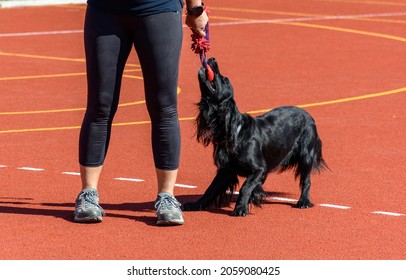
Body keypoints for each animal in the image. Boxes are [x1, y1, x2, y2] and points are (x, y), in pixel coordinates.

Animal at [183, 57, 326, 217]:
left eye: (225, 80)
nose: (212, 59)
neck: (236, 133)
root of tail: (308, 115)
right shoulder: (226, 170)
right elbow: (211, 189)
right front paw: (196, 204)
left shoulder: (260, 169)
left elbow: (245, 187)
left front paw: (240, 208)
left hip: (306, 156)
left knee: (306, 180)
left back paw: (304, 201)